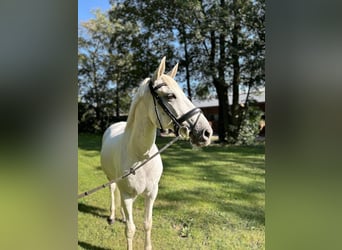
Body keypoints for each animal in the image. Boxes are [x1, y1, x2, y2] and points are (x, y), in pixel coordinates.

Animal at [100, 57, 212, 250]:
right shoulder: (127, 195)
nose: (206, 132)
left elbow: (147, 224)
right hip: (112, 179)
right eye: (170, 96)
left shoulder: (151, 193)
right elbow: (130, 230)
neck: (140, 156)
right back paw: (113, 216)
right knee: (113, 191)